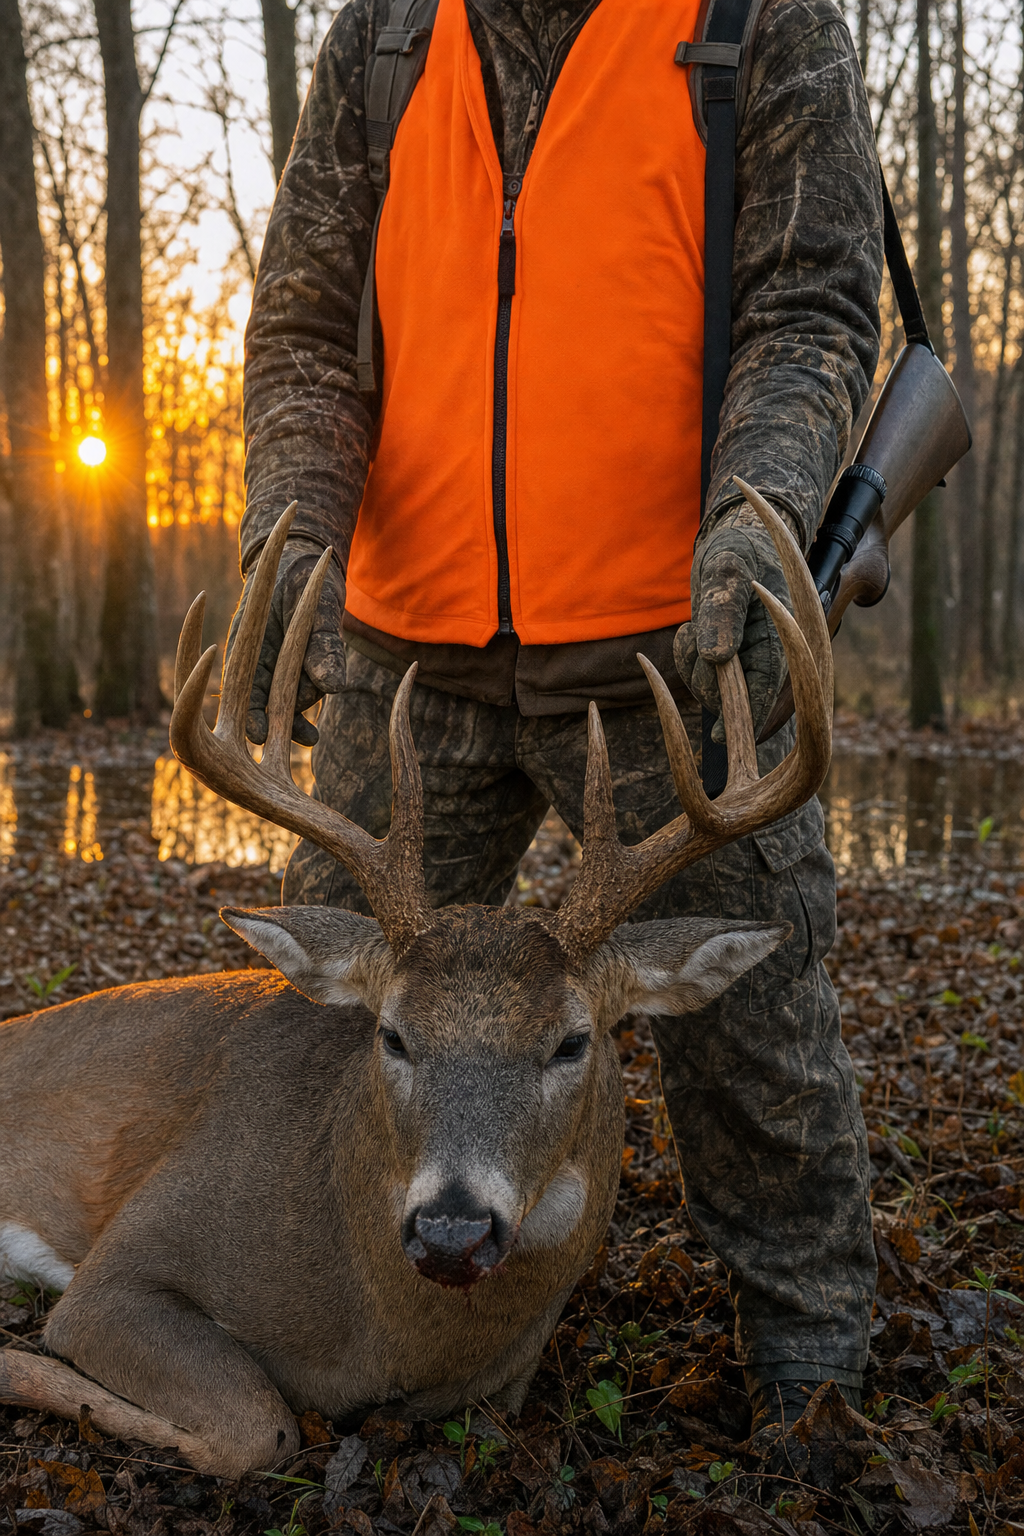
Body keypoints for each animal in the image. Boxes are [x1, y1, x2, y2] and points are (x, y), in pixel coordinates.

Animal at [0, 483, 833, 1479]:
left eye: (573, 1041)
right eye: (392, 1033)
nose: (450, 1232)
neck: (379, 1334)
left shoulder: (502, 1384)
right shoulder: (122, 1266)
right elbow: (257, 1427)